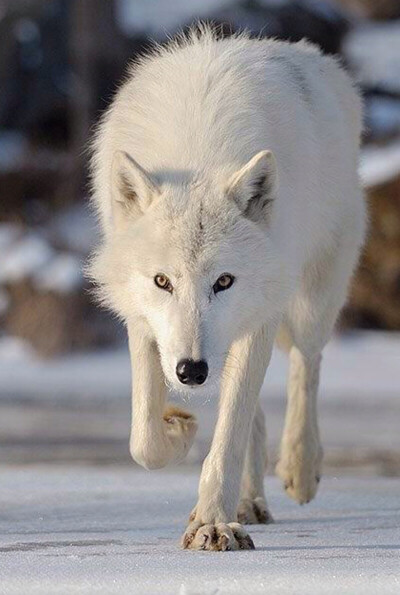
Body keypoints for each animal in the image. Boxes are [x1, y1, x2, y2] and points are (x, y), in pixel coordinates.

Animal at [89, 25, 368, 552]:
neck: (196, 156)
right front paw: (178, 430)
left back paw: (300, 469)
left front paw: (213, 524)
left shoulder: (260, 318)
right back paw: (249, 501)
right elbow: (143, 439)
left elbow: (229, 434)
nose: (191, 371)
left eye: (223, 281)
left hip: (308, 298)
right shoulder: (142, 319)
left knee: (306, 364)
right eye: (162, 281)